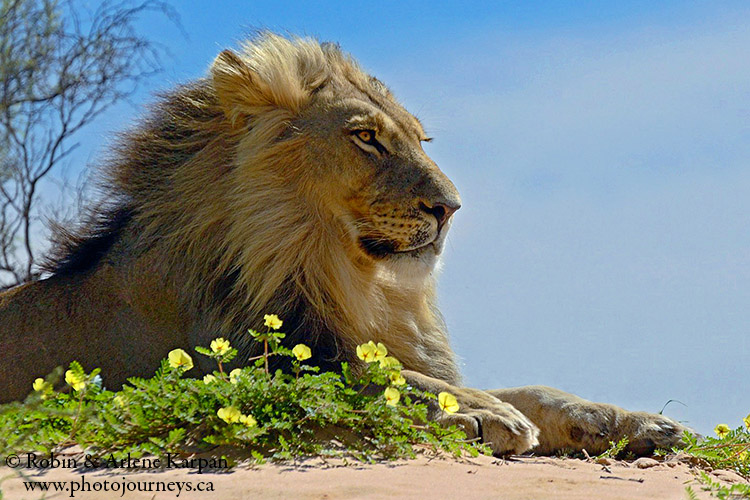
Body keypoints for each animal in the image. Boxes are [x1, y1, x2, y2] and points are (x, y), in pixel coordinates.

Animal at [0, 32, 688, 458]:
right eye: (366, 137)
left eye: (419, 138)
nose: (451, 207)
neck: (344, 275)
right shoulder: (237, 366)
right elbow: (368, 373)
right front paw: (480, 413)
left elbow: (531, 388)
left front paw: (627, 420)